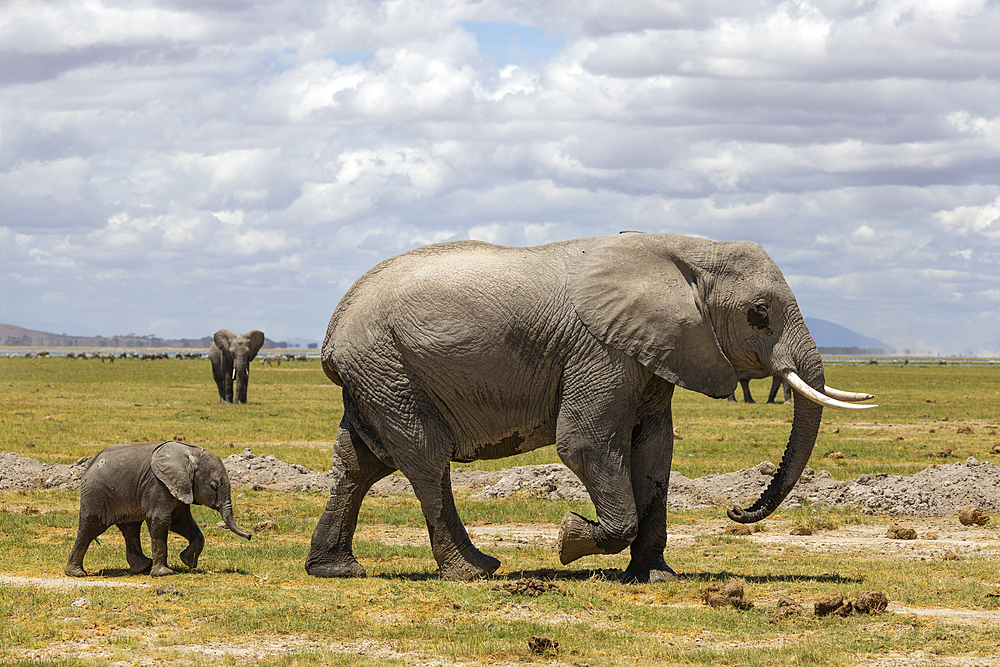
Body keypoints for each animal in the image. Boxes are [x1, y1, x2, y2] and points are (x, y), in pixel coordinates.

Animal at [64, 440, 252, 576]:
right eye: (214, 486)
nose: (250, 535)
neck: (190, 454)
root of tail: (90, 463)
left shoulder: (179, 486)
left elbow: (180, 521)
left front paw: (188, 562)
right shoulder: (158, 484)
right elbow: (160, 519)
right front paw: (164, 573)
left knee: (130, 529)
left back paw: (142, 567)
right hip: (96, 494)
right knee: (89, 528)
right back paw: (76, 573)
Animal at [304, 235, 876, 584]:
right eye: (758, 314)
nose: (737, 511)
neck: (687, 250)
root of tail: (332, 332)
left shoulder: (651, 353)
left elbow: (655, 451)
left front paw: (654, 577)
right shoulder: (600, 350)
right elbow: (585, 444)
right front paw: (569, 539)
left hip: (377, 376)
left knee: (359, 463)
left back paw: (336, 571)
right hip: (387, 367)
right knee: (424, 459)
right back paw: (476, 571)